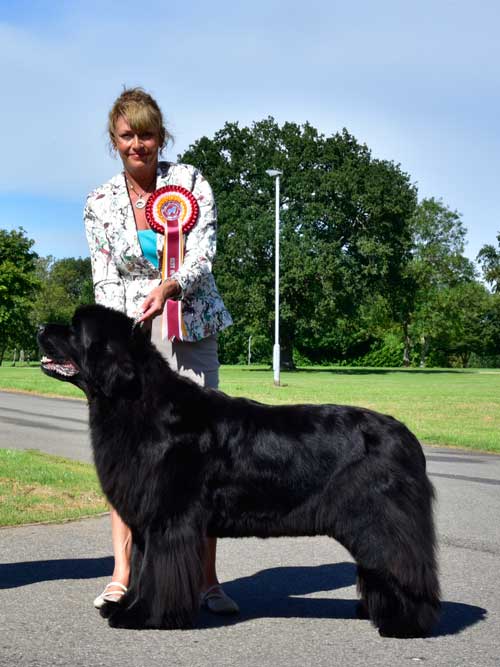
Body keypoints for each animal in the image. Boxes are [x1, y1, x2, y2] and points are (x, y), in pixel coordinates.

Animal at [37, 306, 440, 636]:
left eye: (74, 329)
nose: (40, 326)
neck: (134, 401)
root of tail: (407, 437)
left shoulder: (168, 520)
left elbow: (157, 572)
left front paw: (143, 616)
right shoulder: (144, 522)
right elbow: (138, 568)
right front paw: (124, 606)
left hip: (379, 522)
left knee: (402, 566)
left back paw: (405, 623)